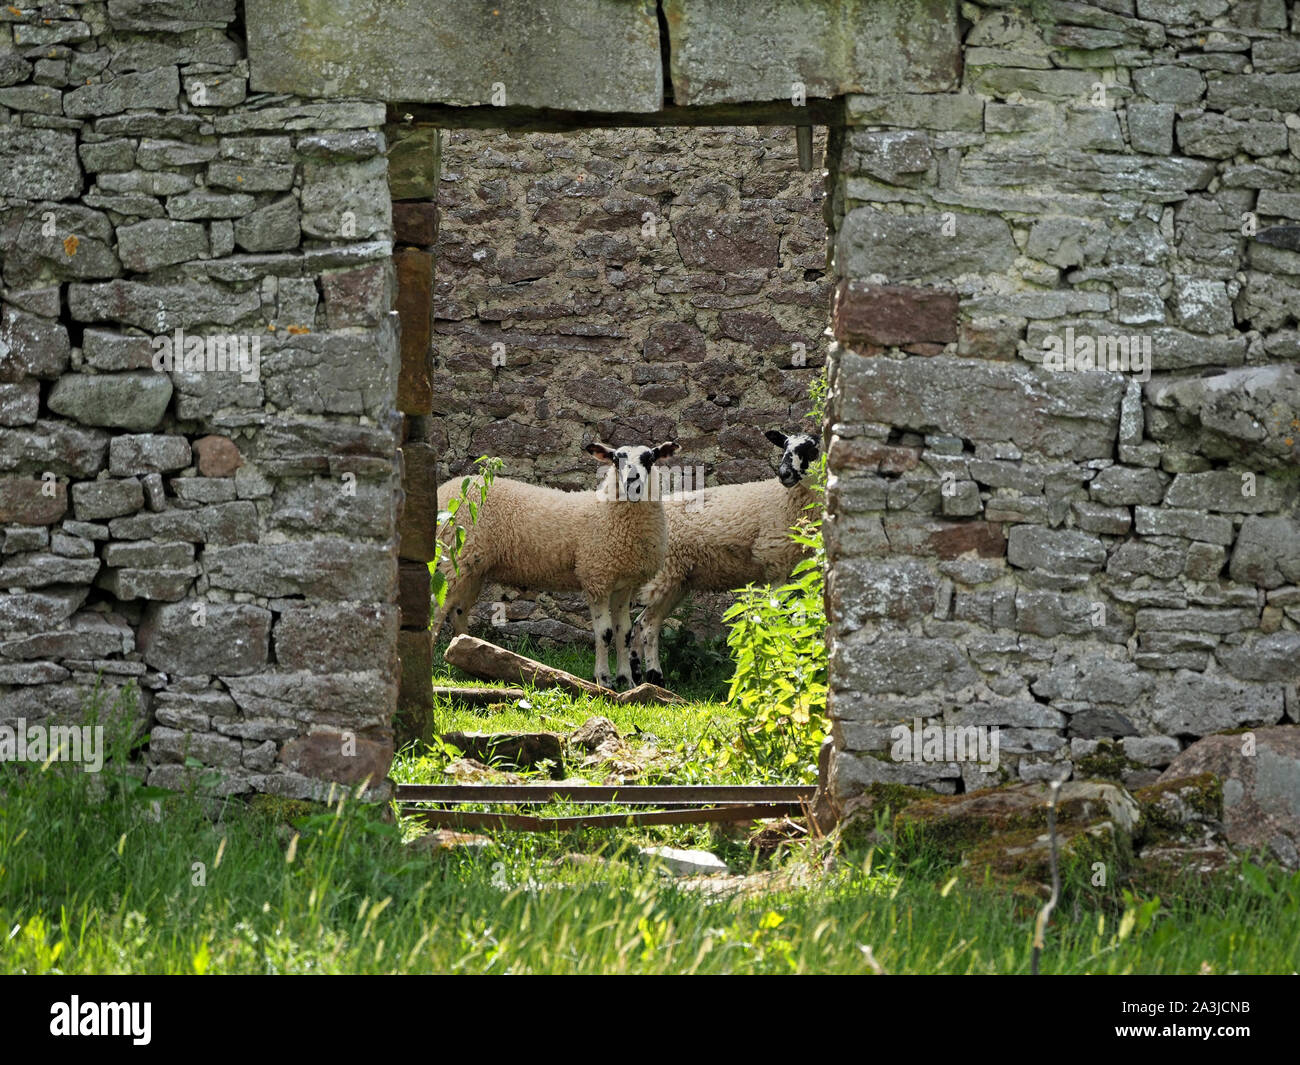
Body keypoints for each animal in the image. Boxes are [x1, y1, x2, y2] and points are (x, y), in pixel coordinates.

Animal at [434, 439, 681, 691]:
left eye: (649, 458)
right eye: (615, 459)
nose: (632, 480)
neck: (607, 512)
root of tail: (445, 491)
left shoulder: (623, 584)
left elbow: (624, 633)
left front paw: (627, 681)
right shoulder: (597, 576)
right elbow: (605, 633)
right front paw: (604, 680)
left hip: (472, 568)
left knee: (458, 610)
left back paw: (463, 648)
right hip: (453, 556)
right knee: (437, 607)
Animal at [629, 429, 821, 686]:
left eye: (810, 449)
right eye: (784, 447)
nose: (784, 474)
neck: (788, 500)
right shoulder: (775, 563)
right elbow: (775, 617)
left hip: (678, 581)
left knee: (643, 624)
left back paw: (641, 678)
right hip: (665, 572)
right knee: (644, 625)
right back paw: (649, 676)